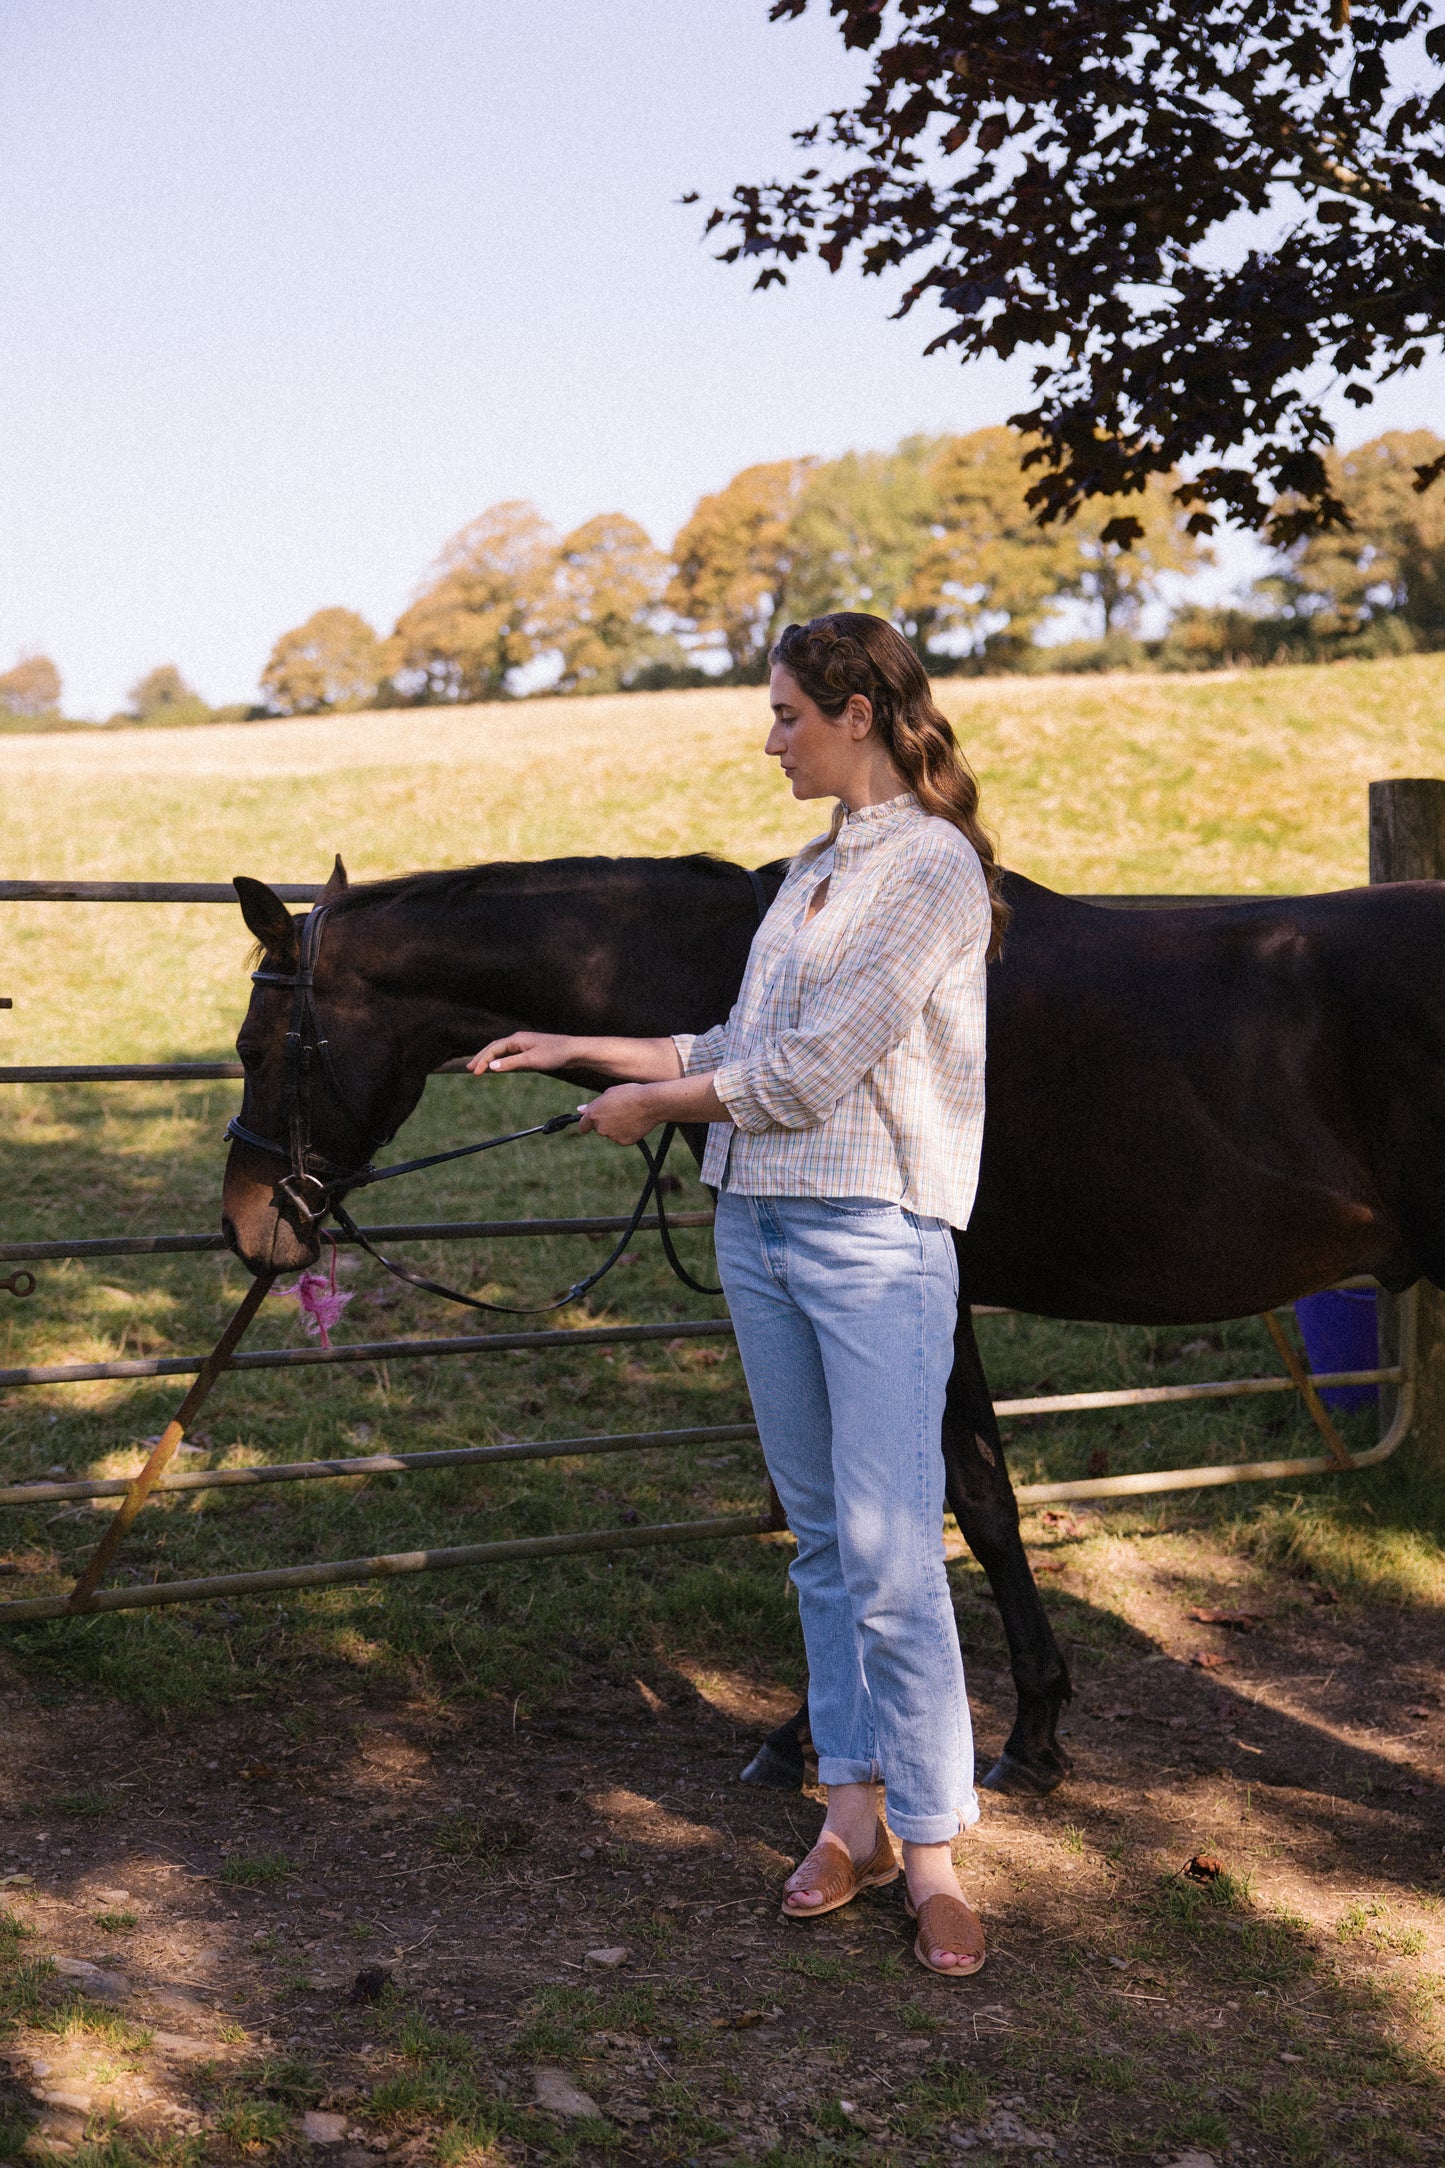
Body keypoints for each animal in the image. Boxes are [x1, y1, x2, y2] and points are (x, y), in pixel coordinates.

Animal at [220, 858, 1438, 1795]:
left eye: (255, 1045)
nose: (247, 1225)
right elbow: (967, 1502)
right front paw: (1027, 1727)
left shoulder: (908, 1293)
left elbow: (933, 1508)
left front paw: (845, 1738)